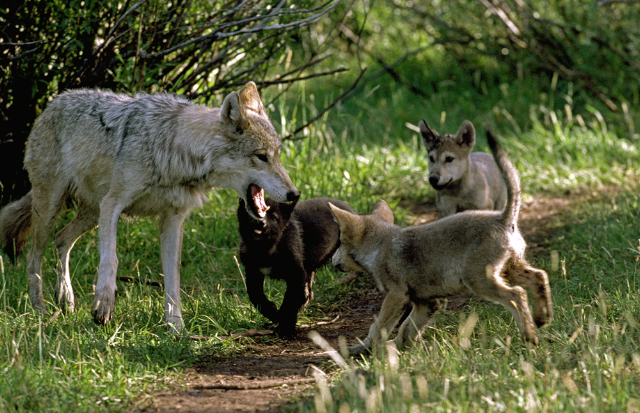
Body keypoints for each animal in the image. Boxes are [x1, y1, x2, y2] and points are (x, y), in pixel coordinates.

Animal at [0, 82, 299, 333]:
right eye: (261, 157)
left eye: (278, 156)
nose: (294, 194)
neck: (176, 153)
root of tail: (54, 102)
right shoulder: (113, 204)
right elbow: (110, 259)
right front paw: (103, 307)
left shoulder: (172, 220)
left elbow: (173, 278)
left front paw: (176, 327)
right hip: (53, 208)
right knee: (34, 256)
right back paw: (40, 307)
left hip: (91, 213)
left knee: (62, 240)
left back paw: (66, 297)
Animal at [237, 197, 354, 338]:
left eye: (274, 217)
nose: (261, 223)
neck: (264, 250)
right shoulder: (253, 272)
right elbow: (255, 295)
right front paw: (273, 313)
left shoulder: (296, 274)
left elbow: (290, 300)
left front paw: (286, 329)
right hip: (309, 270)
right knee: (308, 295)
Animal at [329, 131, 552, 355]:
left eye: (339, 242)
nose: (331, 260)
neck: (380, 247)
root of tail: (502, 218)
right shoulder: (425, 303)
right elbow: (406, 330)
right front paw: (400, 351)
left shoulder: (396, 296)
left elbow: (378, 328)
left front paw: (366, 352)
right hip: (509, 269)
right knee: (539, 277)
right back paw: (541, 319)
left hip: (480, 280)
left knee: (517, 294)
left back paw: (529, 337)